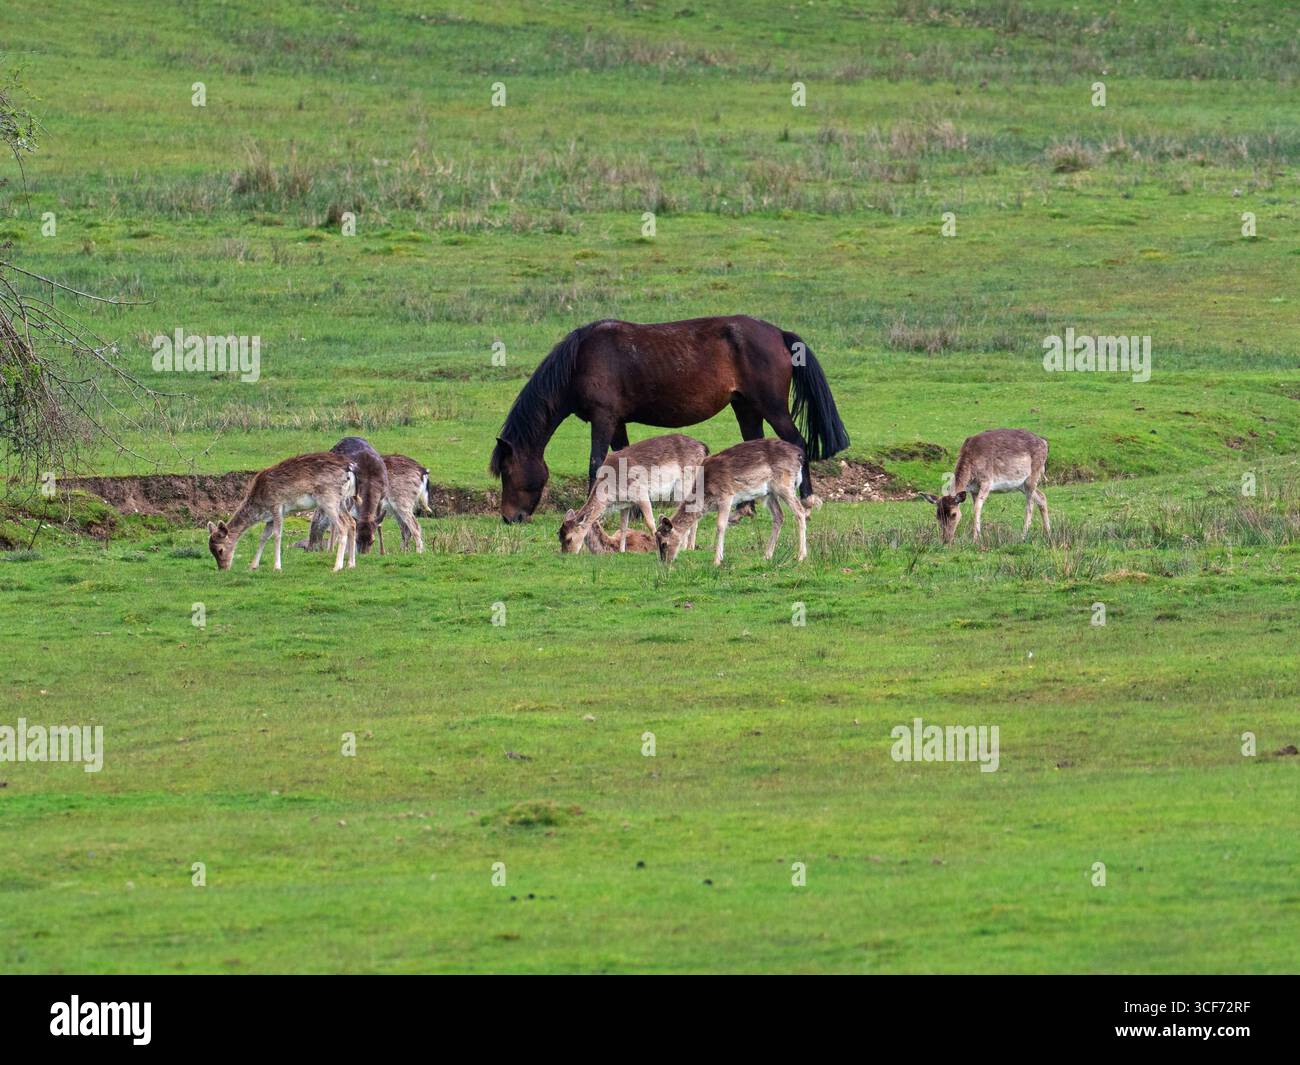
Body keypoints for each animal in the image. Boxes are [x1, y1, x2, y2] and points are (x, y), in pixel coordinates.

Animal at [208, 452, 358, 572]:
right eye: (211, 550)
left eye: (220, 550)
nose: (223, 568)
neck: (260, 506)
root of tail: (349, 469)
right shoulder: (269, 518)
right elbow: (263, 537)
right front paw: (253, 566)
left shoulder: (277, 506)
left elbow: (277, 535)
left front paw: (277, 567)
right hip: (342, 501)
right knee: (352, 522)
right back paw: (351, 564)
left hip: (328, 498)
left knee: (342, 526)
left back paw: (337, 567)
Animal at [558, 433, 709, 554]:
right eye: (558, 535)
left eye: (569, 538)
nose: (567, 554)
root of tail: (704, 448)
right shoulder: (626, 503)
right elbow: (623, 526)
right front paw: (621, 551)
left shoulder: (641, 493)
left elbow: (650, 522)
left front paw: (656, 548)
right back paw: (690, 547)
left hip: (685, 485)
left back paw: (684, 547)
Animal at [655, 438, 810, 565]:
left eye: (664, 543)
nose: (665, 562)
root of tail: (799, 455)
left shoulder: (726, 496)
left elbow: (721, 525)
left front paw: (717, 560)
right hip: (769, 493)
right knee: (779, 516)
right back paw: (767, 555)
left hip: (784, 485)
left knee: (800, 511)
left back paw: (801, 556)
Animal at [918, 428, 1050, 544]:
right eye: (937, 515)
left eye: (954, 514)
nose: (946, 539)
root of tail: (1044, 443)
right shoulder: (973, 489)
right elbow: (976, 507)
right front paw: (978, 536)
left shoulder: (987, 481)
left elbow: (976, 508)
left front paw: (976, 539)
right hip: (1021, 484)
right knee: (1041, 497)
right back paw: (1048, 534)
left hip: (1033, 475)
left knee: (1030, 505)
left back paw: (1023, 536)